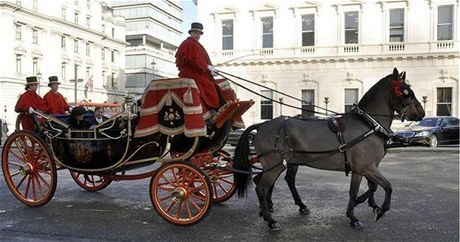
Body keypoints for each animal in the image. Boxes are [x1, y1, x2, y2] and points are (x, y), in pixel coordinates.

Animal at [235, 68, 426, 231]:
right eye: (405, 91)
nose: (421, 112)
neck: (368, 125)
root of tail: (262, 125)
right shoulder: (367, 167)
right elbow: (387, 187)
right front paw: (378, 209)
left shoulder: (361, 169)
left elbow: (360, 190)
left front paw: (354, 213)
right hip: (275, 165)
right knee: (262, 188)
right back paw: (271, 220)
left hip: (279, 164)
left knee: (264, 182)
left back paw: (270, 210)